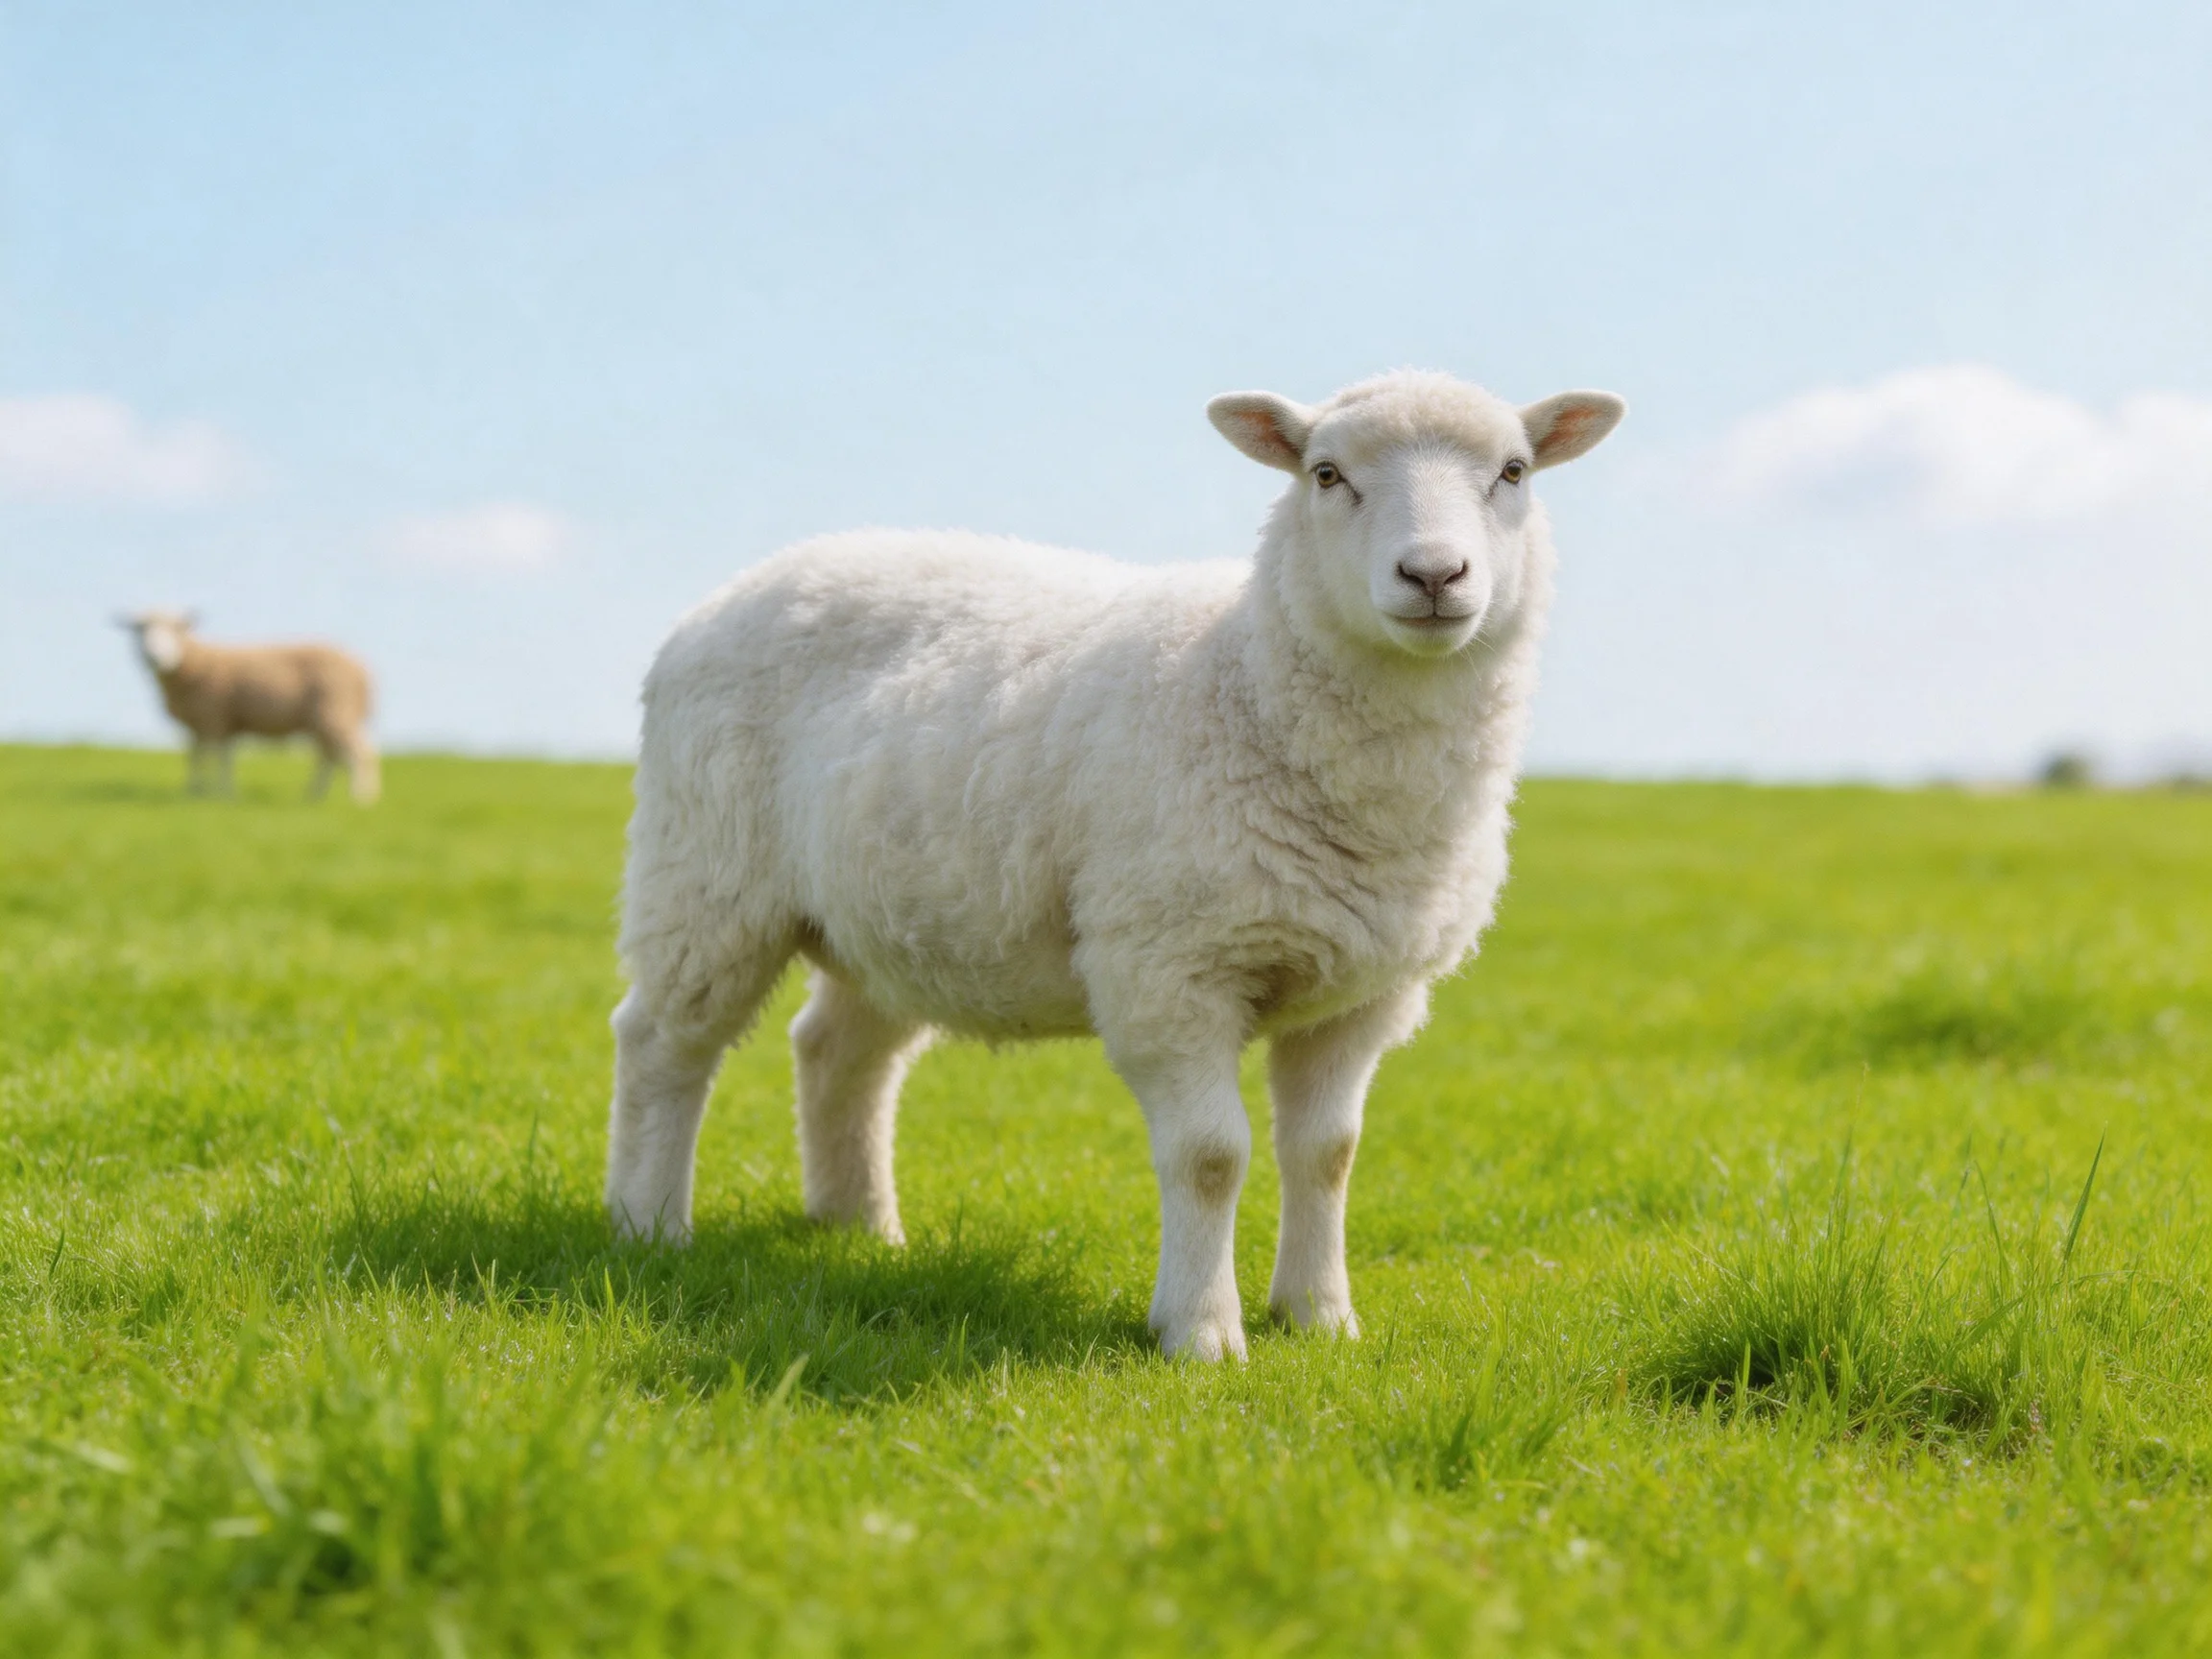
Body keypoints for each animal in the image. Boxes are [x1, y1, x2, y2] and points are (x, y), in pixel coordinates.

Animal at [116, 610, 381, 804]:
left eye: (175, 628)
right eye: (140, 629)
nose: (155, 656)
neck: (193, 662)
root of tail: (363, 670)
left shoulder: (214, 719)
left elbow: (214, 757)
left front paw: (217, 794)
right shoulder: (210, 724)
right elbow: (200, 757)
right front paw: (198, 791)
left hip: (338, 712)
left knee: (360, 752)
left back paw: (361, 797)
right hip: (325, 720)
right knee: (329, 756)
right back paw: (315, 795)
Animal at [608, 369, 1624, 1359]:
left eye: (1515, 472)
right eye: (1326, 474)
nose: (1434, 574)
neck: (1245, 677)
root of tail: (739, 589)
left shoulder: (1363, 992)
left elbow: (1328, 1152)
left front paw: (1320, 1317)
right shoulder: (1170, 968)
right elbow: (1212, 1155)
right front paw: (1201, 1334)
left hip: (894, 913)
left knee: (837, 1052)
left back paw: (859, 1227)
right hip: (705, 874)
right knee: (662, 1042)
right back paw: (648, 1224)